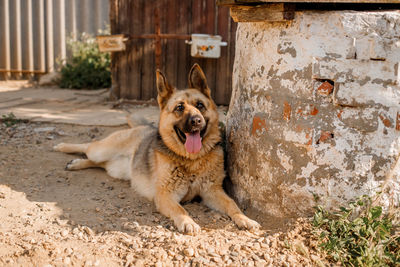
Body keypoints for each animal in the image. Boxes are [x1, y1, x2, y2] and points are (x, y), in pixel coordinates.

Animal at [53, 64, 260, 234]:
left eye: (200, 105)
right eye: (179, 108)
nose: (196, 121)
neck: (191, 160)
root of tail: (143, 128)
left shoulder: (213, 192)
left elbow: (233, 204)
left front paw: (245, 219)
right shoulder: (165, 195)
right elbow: (180, 209)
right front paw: (188, 222)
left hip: (115, 169)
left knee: (99, 163)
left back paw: (76, 163)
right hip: (102, 150)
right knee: (89, 146)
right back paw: (64, 148)